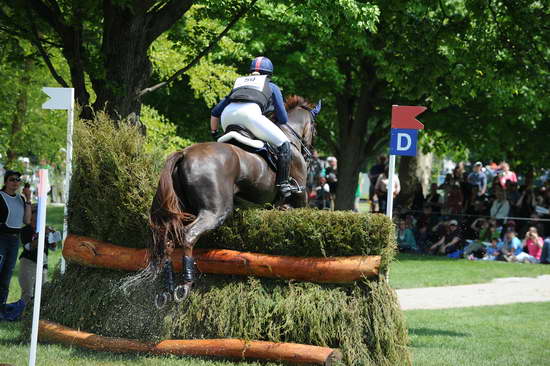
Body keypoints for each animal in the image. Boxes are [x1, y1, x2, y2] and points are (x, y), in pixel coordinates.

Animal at [149, 96, 322, 308]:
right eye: (315, 128)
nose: (310, 152)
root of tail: (184, 153)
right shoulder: (301, 196)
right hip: (215, 211)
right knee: (189, 235)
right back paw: (186, 284)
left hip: (183, 209)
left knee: (168, 241)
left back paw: (166, 290)